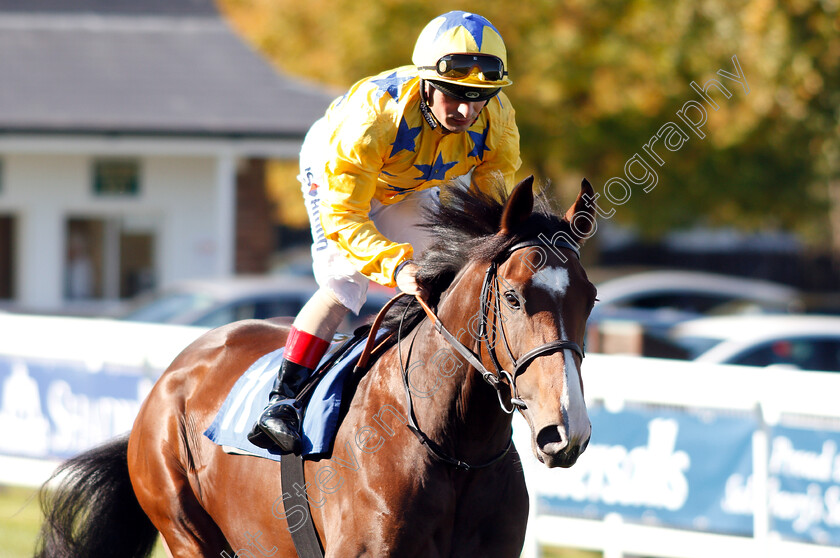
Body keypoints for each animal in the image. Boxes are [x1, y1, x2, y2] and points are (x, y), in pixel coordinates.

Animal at [34, 176, 596, 558]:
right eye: (513, 297)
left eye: (589, 299)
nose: (565, 431)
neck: (455, 448)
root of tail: (172, 375)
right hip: (186, 529)